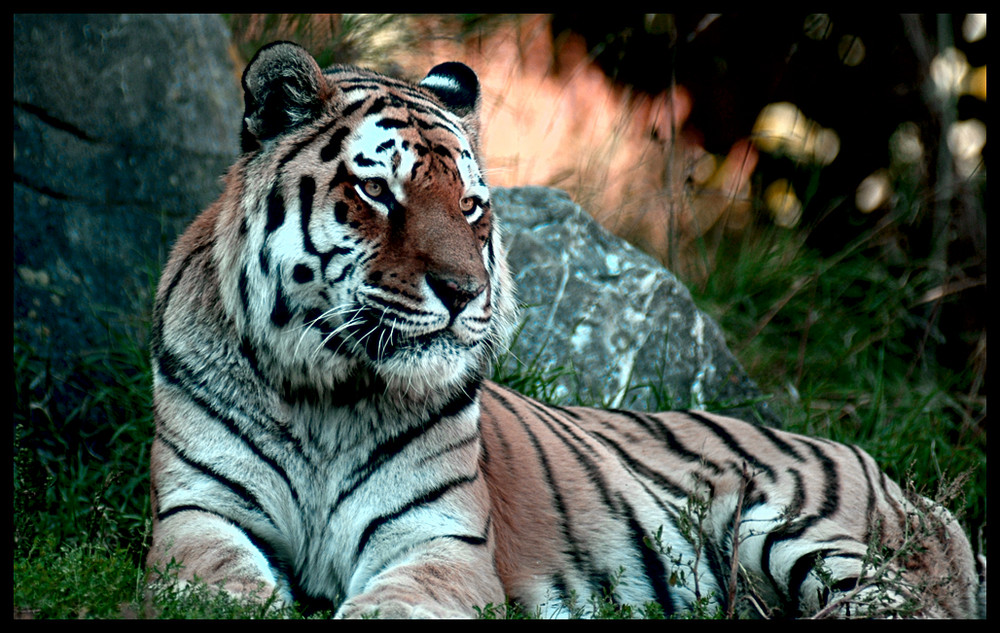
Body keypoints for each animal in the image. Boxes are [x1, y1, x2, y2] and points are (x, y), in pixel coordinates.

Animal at [148, 40, 984, 616]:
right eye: (379, 192)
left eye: (470, 207)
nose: (464, 293)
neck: (325, 394)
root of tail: (912, 488)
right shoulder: (197, 516)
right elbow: (228, 588)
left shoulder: (439, 540)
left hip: (795, 533)